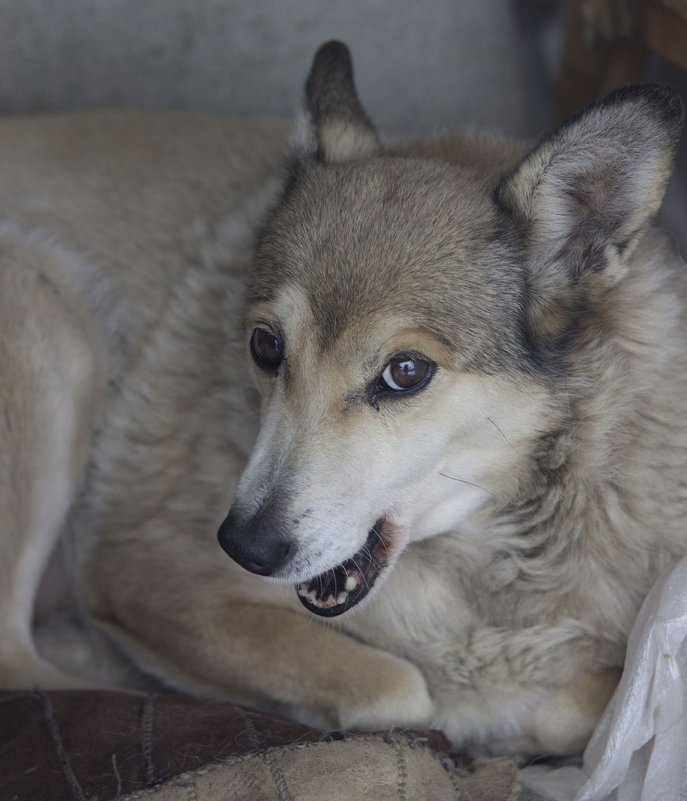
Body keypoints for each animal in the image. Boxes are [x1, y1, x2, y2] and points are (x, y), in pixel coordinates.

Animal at [1, 42, 687, 756]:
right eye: (265, 345)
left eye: (406, 371)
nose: (244, 548)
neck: (490, 542)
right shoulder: (145, 577)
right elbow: (400, 691)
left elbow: (569, 708)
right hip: (47, 312)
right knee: (19, 665)